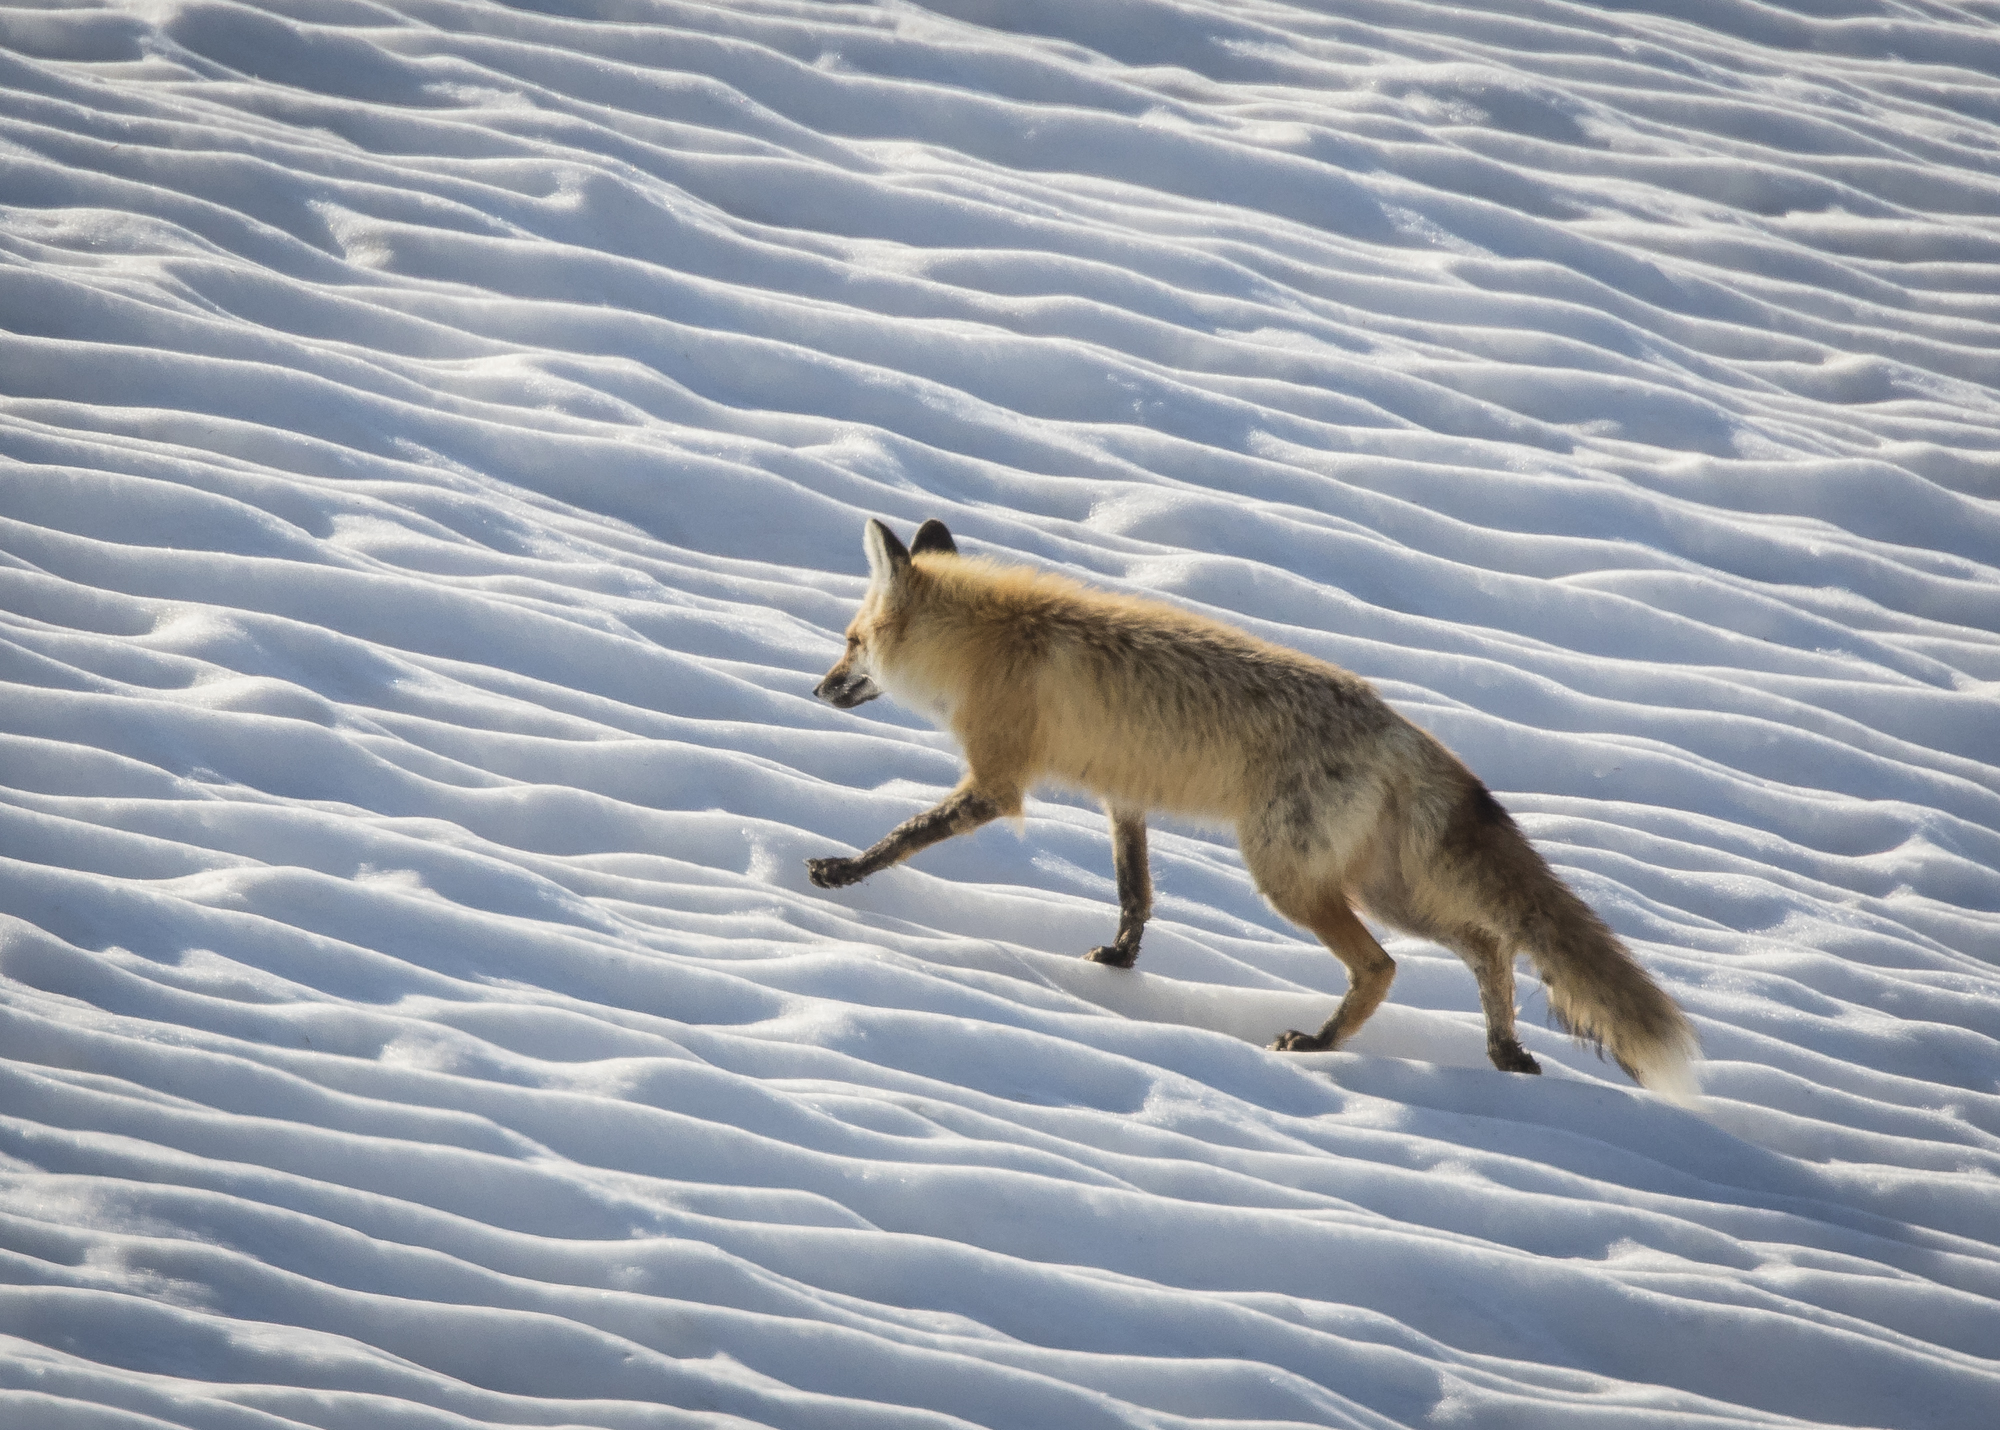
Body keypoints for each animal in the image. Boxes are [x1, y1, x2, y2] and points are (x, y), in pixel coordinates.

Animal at [807, 517, 1699, 1096]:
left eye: (850, 642)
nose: (817, 689)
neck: (996, 643)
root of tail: (1400, 727)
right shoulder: (1124, 796)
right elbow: (1135, 892)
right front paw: (1121, 961)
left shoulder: (996, 784)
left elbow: (904, 835)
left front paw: (843, 872)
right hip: (1384, 888)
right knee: (1490, 945)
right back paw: (1503, 1052)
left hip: (1291, 879)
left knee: (1385, 966)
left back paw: (1320, 1044)